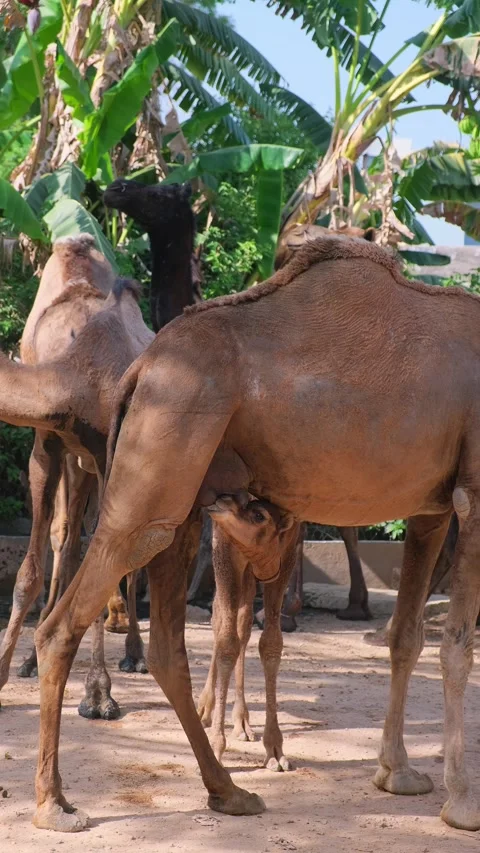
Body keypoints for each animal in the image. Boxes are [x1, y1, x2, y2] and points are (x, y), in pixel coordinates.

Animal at [198, 494, 299, 771]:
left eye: (259, 515)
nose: (222, 500)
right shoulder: (225, 546)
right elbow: (227, 640)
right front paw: (216, 748)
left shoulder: (288, 547)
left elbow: (271, 642)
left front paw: (276, 751)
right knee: (221, 619)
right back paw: (204, 709)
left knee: (243, 624)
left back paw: (242, 723)